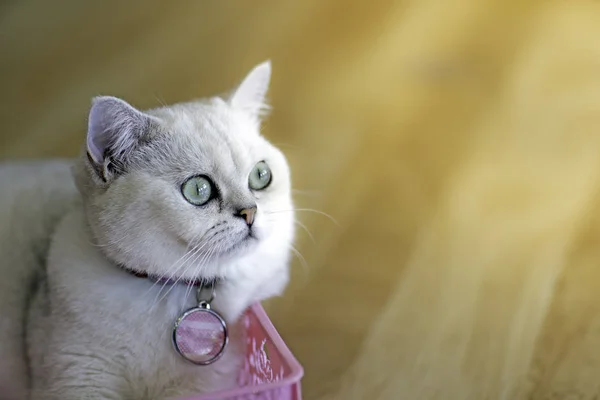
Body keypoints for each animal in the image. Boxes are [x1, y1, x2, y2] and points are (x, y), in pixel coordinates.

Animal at [0, 61, 292, 398]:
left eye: (261, 175)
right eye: (198, 189)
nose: (250, 212)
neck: (166, 290)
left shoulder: (208, 381)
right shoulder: (77, 376)